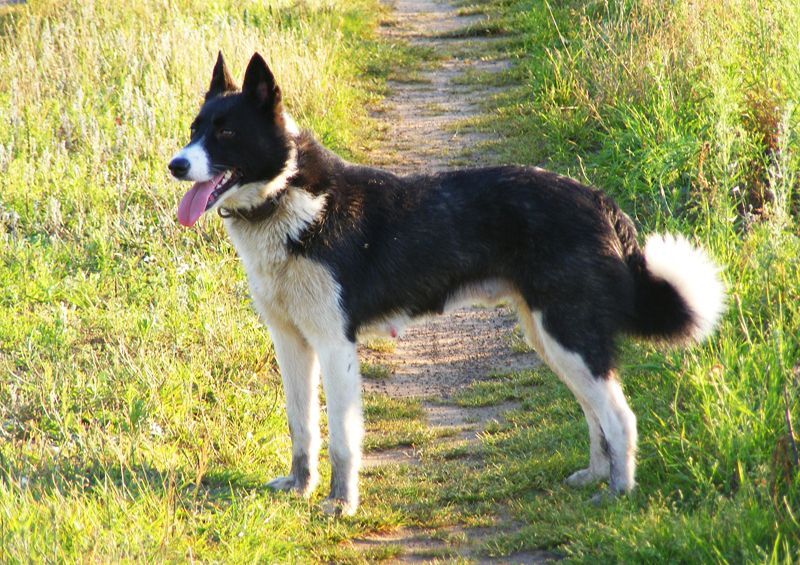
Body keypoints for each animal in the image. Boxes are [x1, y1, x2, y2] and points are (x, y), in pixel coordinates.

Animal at [167, 53, 724, 516]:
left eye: (227, 133)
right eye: (195, 129)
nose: (175, 164)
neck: (287, 196)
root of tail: (598, 200)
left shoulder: (334, 344)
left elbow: (343, 438)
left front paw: (341, 505)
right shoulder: (291, 343)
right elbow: (301, 427)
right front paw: (300, 489)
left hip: (568, 336)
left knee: (619, 417)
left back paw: (618, 495)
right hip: (553, 339)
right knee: (596, 413)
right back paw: (595, 477)